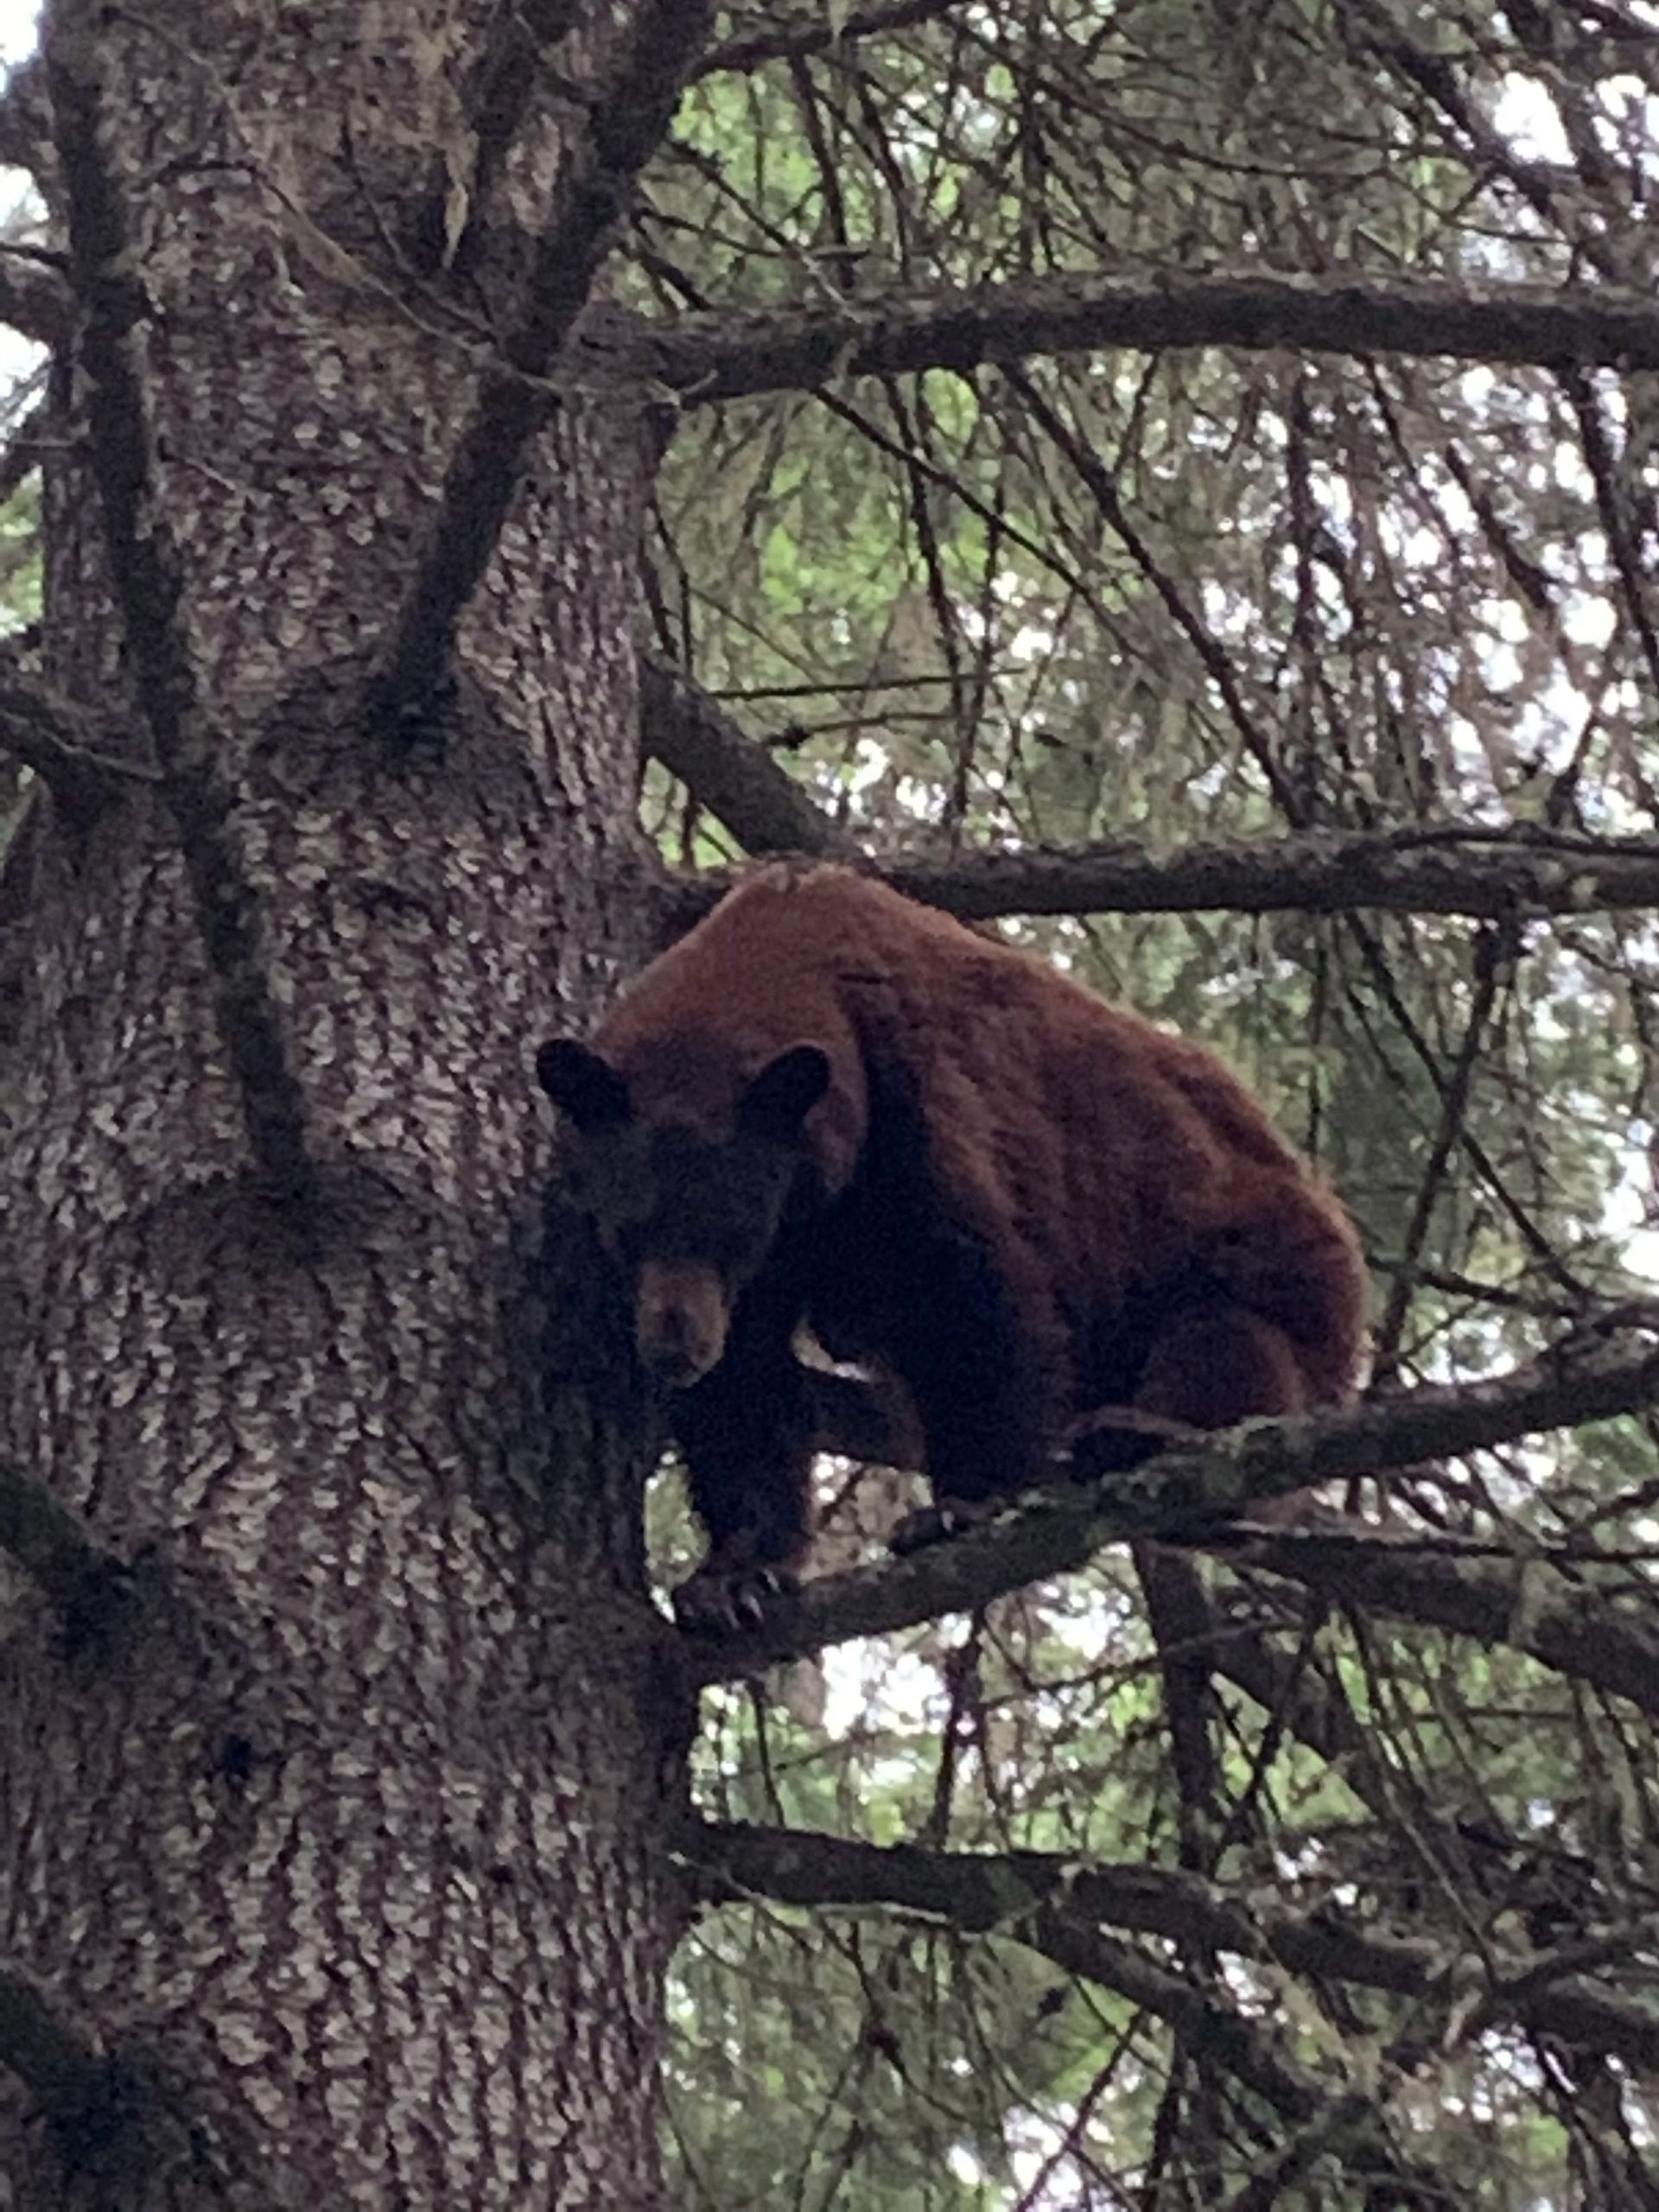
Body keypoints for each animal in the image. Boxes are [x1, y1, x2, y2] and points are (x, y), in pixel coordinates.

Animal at [536, 862, 1368, 1631]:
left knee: (1226, 1342)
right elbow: (746, 1390)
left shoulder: (913, 1112)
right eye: (625, 1228)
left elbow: (968, 1296)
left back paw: (1139, 1436)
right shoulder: (784, 1243)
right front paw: (734, 1575)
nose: (675, 1347)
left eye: (733, 1235)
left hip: (1260, 1258)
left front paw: (962, 1505)